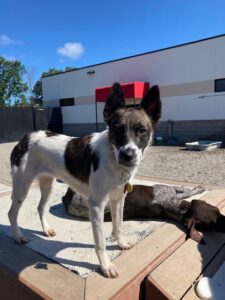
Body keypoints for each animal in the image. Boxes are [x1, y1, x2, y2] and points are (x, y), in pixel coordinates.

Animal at [7, 82, 161, 278]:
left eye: (142, 130)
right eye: (117, 129)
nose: (127, 155)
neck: (113, 158)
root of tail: (26, 137)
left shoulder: (118, 199)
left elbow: (118, 225)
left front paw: (120, 243)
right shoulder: (96, 205)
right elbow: (100, 242)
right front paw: (105, 266)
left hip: (47, 185)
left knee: (40, 207)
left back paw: (46, 230)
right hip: (22, 186)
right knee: (12, 213)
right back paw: (18, 236)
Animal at [62, 184, 225, 245]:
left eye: (218, 211)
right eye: (214, 222)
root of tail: (68, 199)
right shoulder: (170, 191)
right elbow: (186, 190)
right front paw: (199, 188)